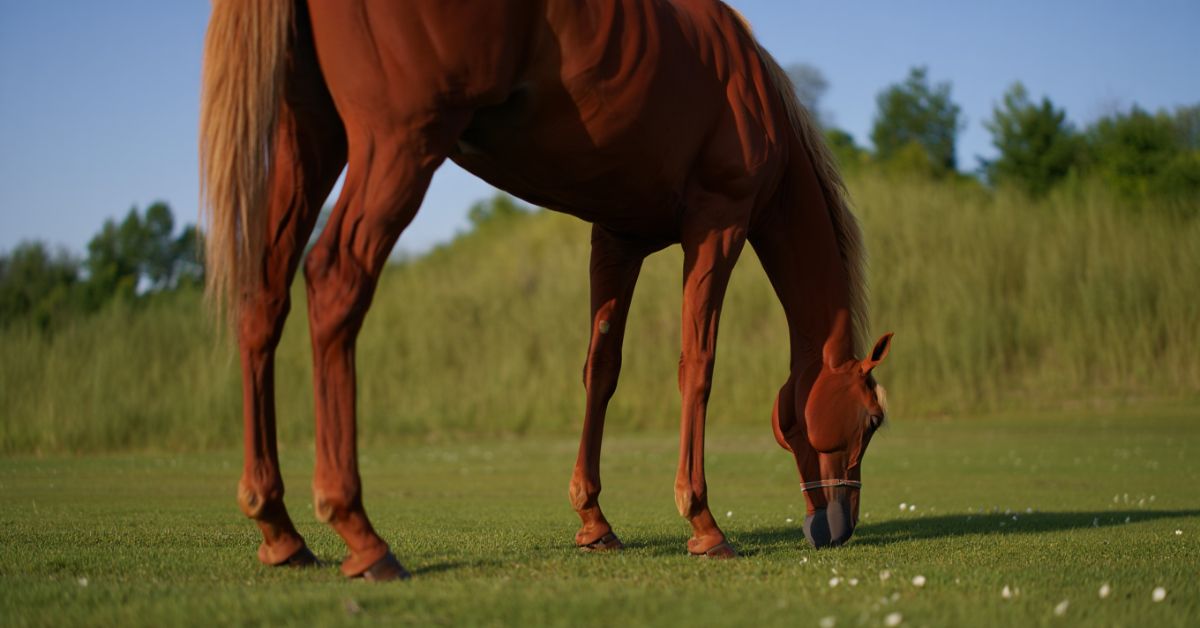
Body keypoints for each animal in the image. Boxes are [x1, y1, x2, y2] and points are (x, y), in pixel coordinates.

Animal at [199, 0, 894, 581]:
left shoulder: (616, 239)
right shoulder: (718, 224)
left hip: (307, 144)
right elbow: (697, 366)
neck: (749, 90)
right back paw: (361, 534)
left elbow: (601, 371)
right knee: (336, 283)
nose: (840, 526)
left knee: (264, 296)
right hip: (398, 144)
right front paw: (702, 524)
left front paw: (594, 522)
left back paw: (280, 530)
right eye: (873, 420)